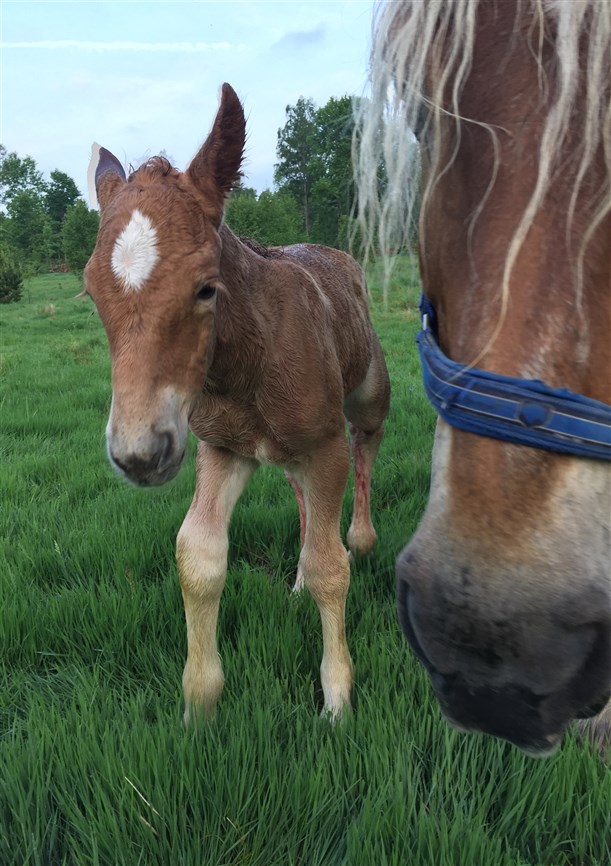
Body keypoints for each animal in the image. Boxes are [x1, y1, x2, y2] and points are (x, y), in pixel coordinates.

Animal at [85, 84, 392, 720]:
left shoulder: (323, 445)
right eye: (92, 292)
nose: (138, 454)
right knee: (300, 496)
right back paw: (295, 581)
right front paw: (199, 706)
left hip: (368, 395)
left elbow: (331, 567)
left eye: (206, 287)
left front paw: (337, 700)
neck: (248, 365)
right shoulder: (220, 448)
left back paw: (362, 537)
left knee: (365, 449)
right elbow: (198, 557)